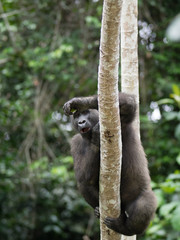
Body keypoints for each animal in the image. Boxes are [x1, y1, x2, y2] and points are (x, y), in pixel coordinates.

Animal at [63, 93, 156, 235]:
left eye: (85, 113)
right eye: (77, 116)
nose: (81, 122)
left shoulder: (121, 122)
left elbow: (128, 105)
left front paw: (81, 102)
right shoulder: (75, 142)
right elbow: (83, 176)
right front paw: (96, 138)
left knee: (144, 205)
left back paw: (124, 227)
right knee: (84, 183)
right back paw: (99, 211)